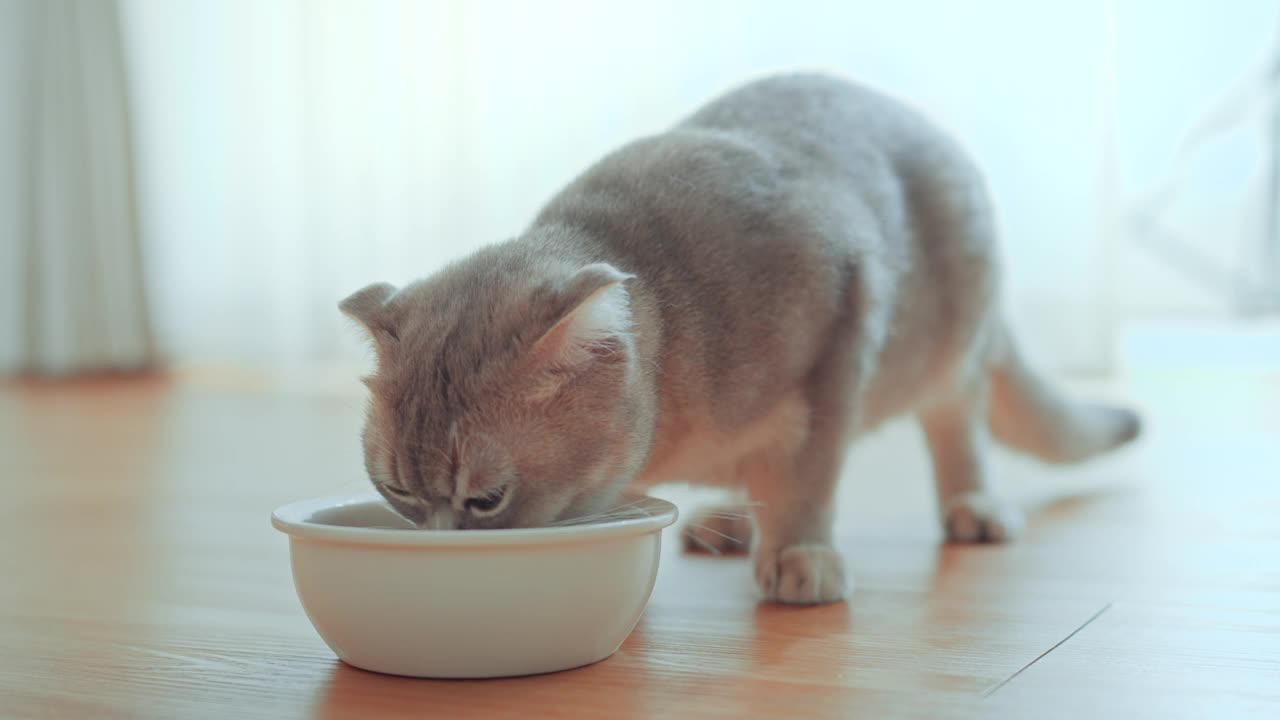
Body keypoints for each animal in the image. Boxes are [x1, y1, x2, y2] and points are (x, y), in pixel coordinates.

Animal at [337, 73, 1141, 602]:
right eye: (397, 491)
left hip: (953, 342)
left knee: (956, 422)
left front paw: (802, 552)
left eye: (486, 500)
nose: (439, 546)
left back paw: (972, 505)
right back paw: (728, 518)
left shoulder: (842, 323)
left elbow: (811, 470)